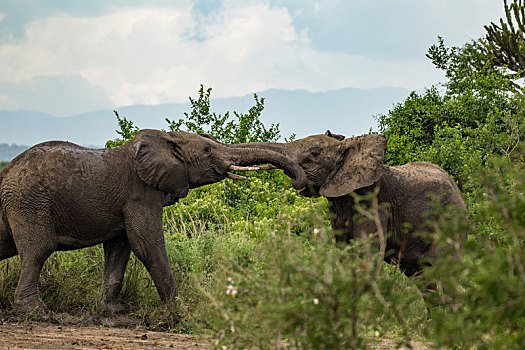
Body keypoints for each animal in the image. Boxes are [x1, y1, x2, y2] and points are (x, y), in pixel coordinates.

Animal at [0, 130, 310, 314]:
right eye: (207, 150)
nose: (298, 182)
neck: (164, 141)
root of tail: (7, 173)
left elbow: (120, 249)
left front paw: (114, 312)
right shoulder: (140, 194)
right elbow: (146, 244)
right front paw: (180, 313)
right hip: (30, 203)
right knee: (39, 249)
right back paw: (37, 313)